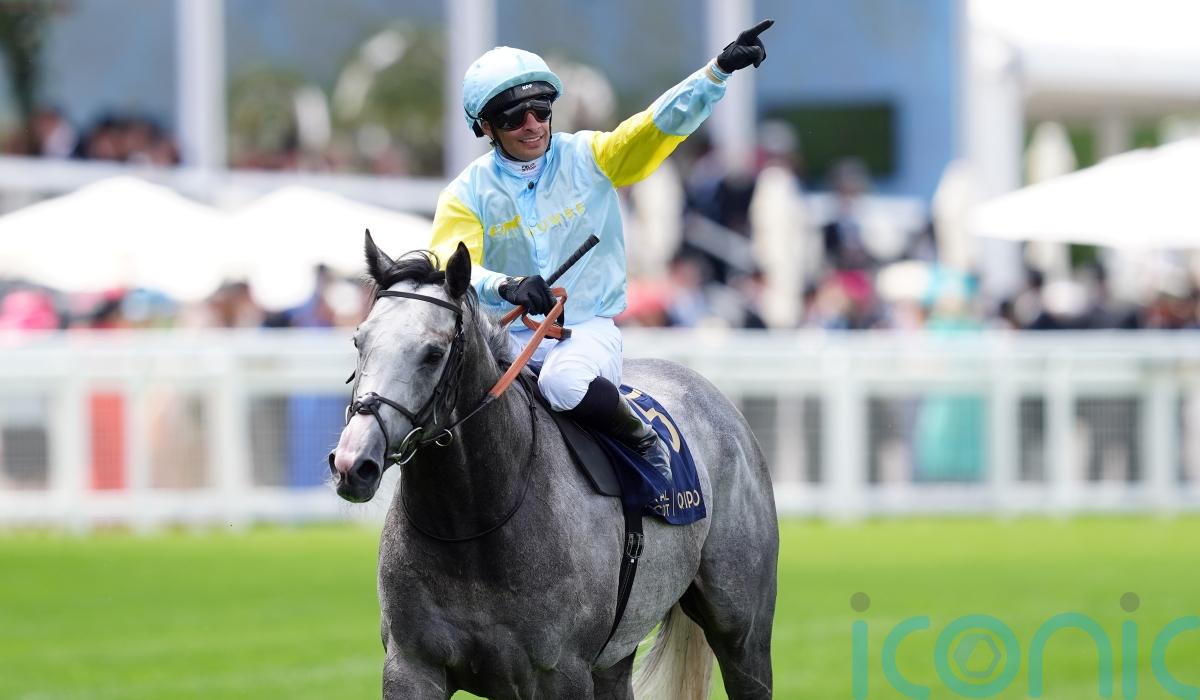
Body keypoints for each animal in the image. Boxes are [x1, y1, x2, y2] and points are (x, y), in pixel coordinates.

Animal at [329, 233, 779, 699]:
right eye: (359, 341)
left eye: (433, 353)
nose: (353, 463)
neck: (473, 527)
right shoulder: (412, 666)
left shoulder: (562, 672)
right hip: (616, 657)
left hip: (742, 632)